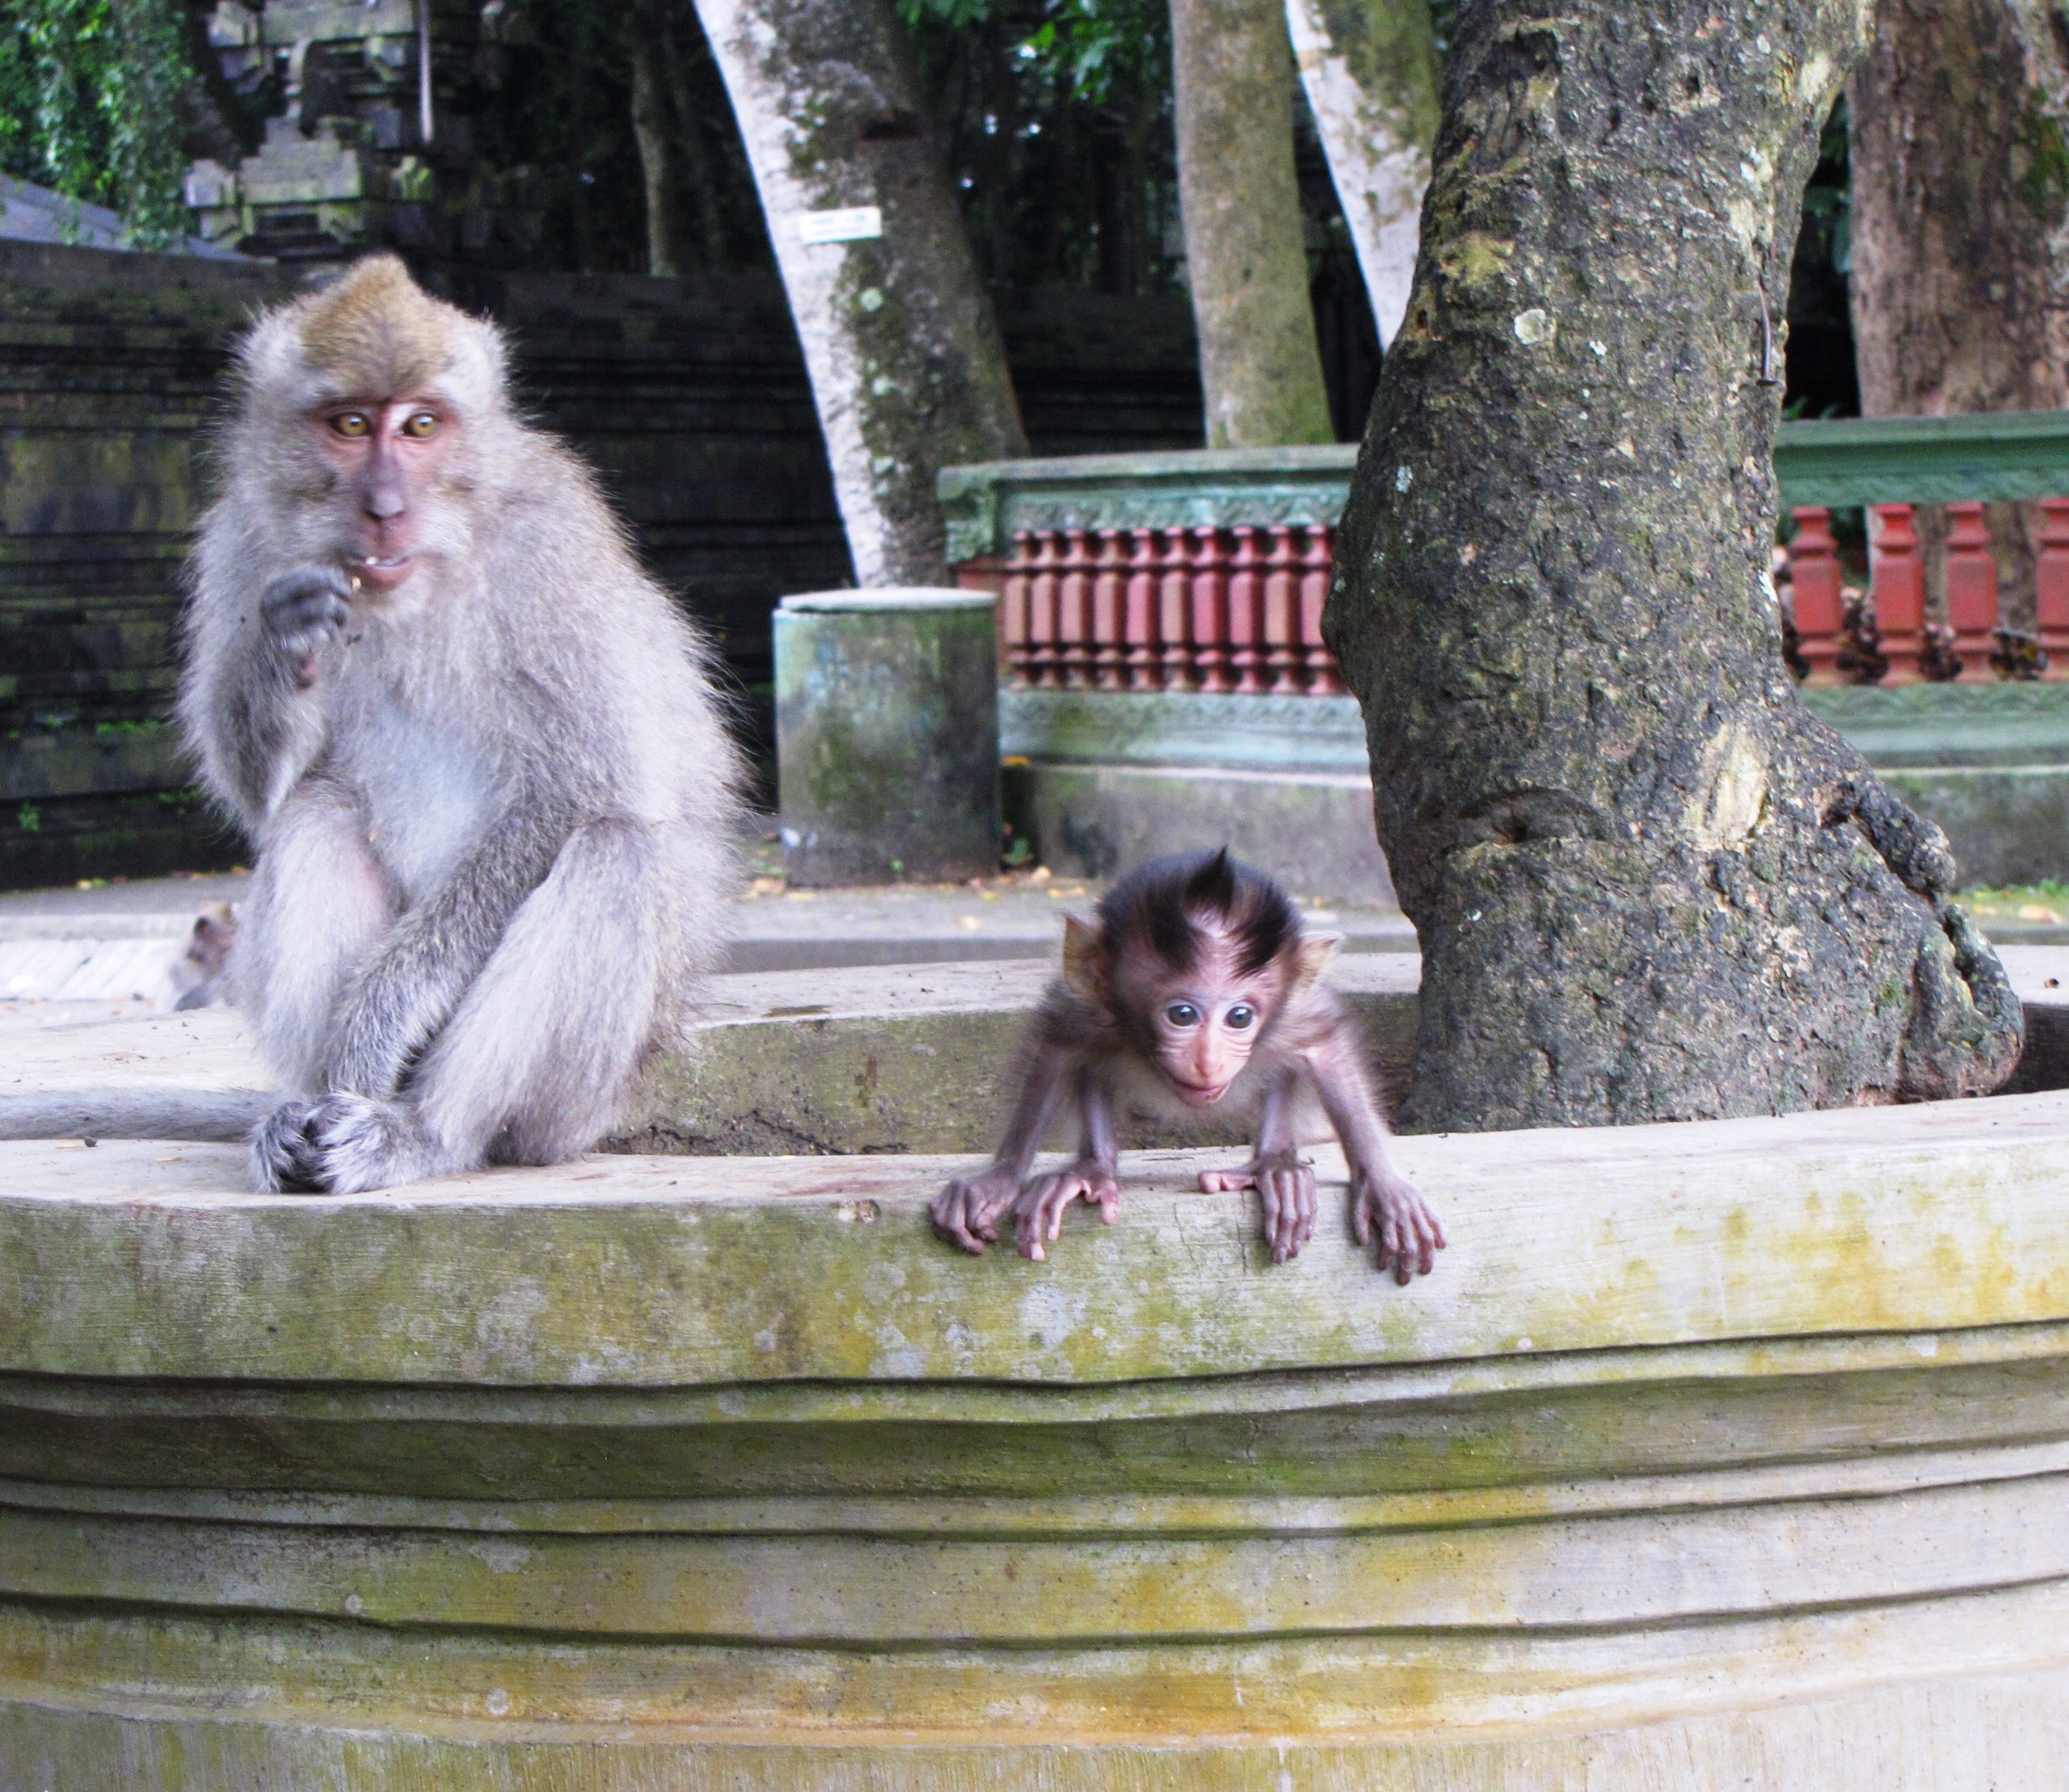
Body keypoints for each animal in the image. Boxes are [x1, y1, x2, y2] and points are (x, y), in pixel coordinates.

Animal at [158, 253, 743, 1192]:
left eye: (422, 425)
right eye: (351, 424)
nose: (385, 506)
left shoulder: (548, 551)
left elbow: (579, 789)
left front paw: (375, 1021)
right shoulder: (241, 536)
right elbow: (256, 792)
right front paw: (285, 643)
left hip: (587, 1095)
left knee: (613, 850)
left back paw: (422, 1132)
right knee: (316, 806)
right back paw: (301, 1113)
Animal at [930, 850, 1445, 1281]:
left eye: (1240, 1017)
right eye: (1182, 1015)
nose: (1208, 1060)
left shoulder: (1295, 1014)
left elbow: (1326, 1049)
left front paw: (1383, 1186)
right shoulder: (1088, 1008)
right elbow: (1057, 1049)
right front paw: (998, 1180)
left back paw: (1274, 1166)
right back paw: (1092, 1170)